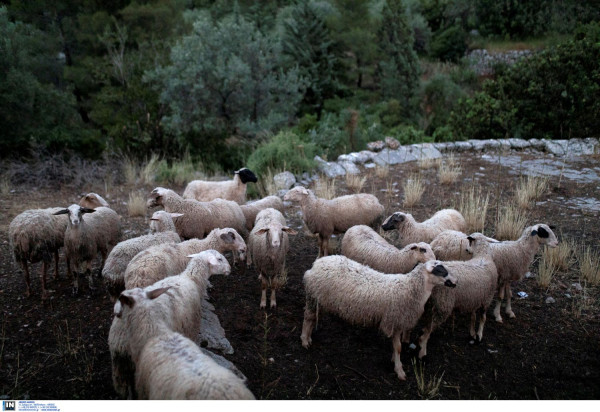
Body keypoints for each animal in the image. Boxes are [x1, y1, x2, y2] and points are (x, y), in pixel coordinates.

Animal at [111, 251, 243, 400]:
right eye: (220, 259)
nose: (230, 269)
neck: (192, 279)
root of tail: (119, 339)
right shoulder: (191, 326)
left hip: (120, 368)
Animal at [300, 258, 454, 380]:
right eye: (440, 270)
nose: (455, 283)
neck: (410, 288)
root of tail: (316, 264)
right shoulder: (394, 320)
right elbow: (398, 348)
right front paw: (399, 370)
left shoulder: (397, 322)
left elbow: (396, 347)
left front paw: (394, 360)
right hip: (313, 296)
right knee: (308, 318)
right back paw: (305, 340)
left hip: (320, 299)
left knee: (312, 318)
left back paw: (309, 338)